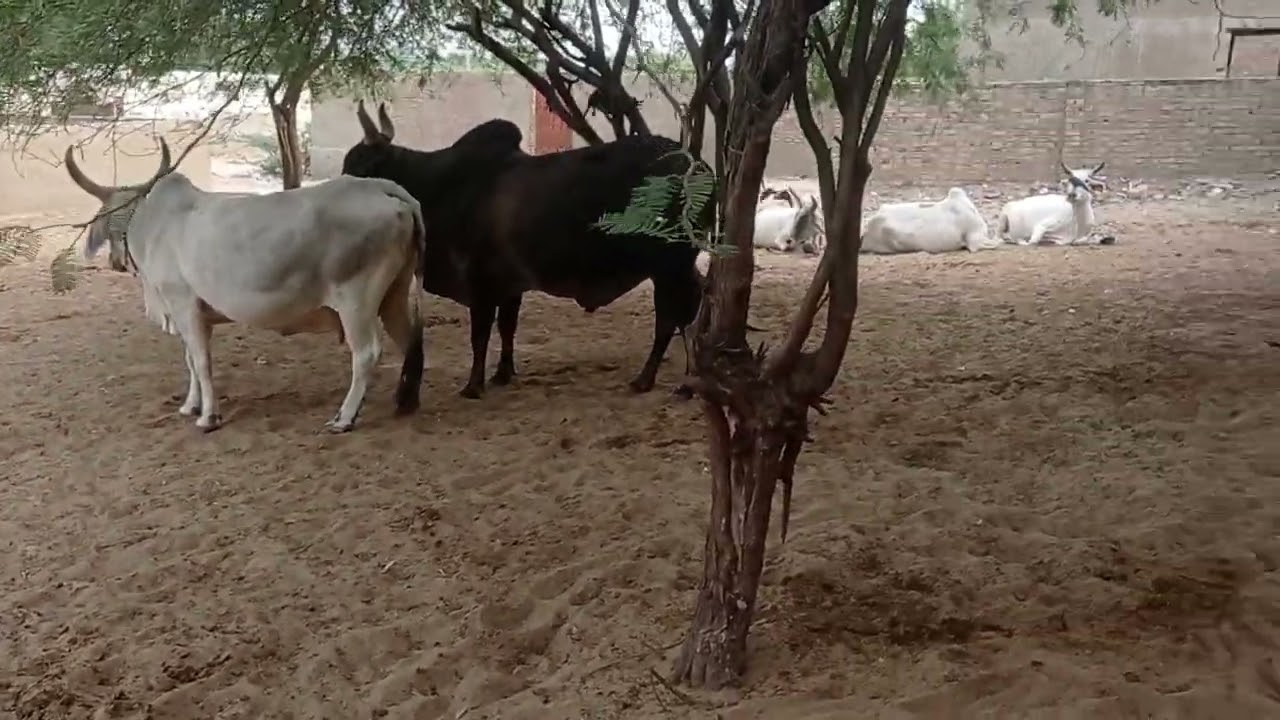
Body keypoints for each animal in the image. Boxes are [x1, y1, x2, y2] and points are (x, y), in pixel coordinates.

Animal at [64, 138, 426, 433]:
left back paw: (345, 417)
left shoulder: (184, 306)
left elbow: (201, 362)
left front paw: (208, 417)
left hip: (355, 301)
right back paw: (406, 401)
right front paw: (190, 405)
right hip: (394, 295)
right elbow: (190, 361)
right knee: (410, 343)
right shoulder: (192, 316)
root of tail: (381, 188)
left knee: (366, 354)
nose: (114, 261)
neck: (154, 225)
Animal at [340, 101, 707, 399]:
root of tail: (698, 167)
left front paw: (473, 386)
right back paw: (687, 381)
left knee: (672, 320)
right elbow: (507, 328)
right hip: (681, 268)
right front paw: (503, 374)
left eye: (363, 166)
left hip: (669, 268)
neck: (437, 186)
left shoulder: (480, 283)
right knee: (691, 316)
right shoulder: (508, 286)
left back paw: (651, 379)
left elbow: (480, 336)